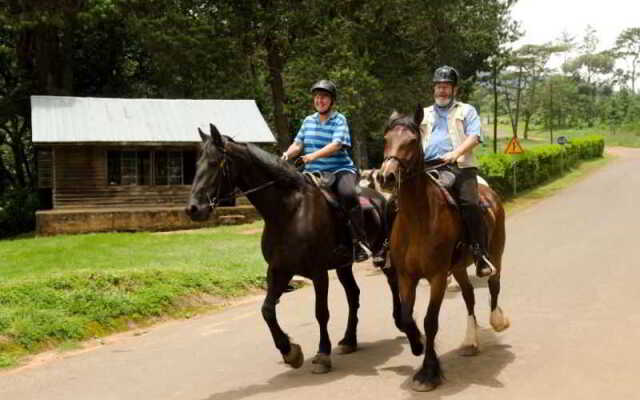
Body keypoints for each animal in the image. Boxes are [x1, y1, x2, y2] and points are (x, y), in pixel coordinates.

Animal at [185, 125, 402, 376]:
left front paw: (322, 355)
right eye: (197, 164)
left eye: (214, 163)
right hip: (344, 266)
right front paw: (290, 352)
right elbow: (267, 310)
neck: (289, 211)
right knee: (353, 295)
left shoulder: (318, 272)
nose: (193, 209)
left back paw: (402, 322)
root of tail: (381, 198)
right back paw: (349, 340)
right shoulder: (280, 269)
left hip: (383, 254)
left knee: (393, 282)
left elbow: (321, 312)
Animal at [376, 105, 510, 390]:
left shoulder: (437, 277)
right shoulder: (406, 276)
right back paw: (470, 341)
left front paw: (428, 372)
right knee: (469, 296)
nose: (386, 176)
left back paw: (497, 320)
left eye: (411, 141)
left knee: (494, 285)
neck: (418, 219)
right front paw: (417, 345)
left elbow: (430, 321)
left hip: (496, 253)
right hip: (458, 267)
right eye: (386, 139)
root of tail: (489, 193)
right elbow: (407, 316)